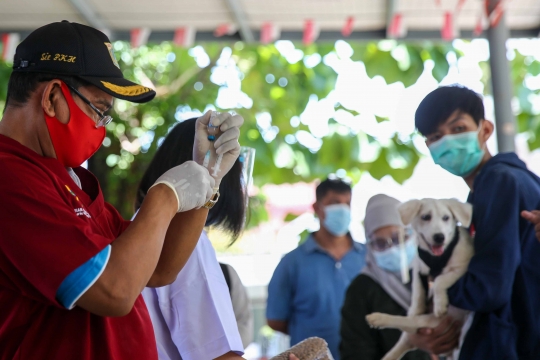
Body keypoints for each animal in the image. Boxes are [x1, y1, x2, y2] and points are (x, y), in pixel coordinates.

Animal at [364, 198, 474, 358]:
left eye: (446, 218)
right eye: (425, 217)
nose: (439, 237)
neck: (436, 257)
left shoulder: (463, 268)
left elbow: (440, 280)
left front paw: (439, 304)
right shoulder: (418, 268)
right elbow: (418, 292)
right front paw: (417, 308)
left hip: (432, 322)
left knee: (409, 324)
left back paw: (378, 318)